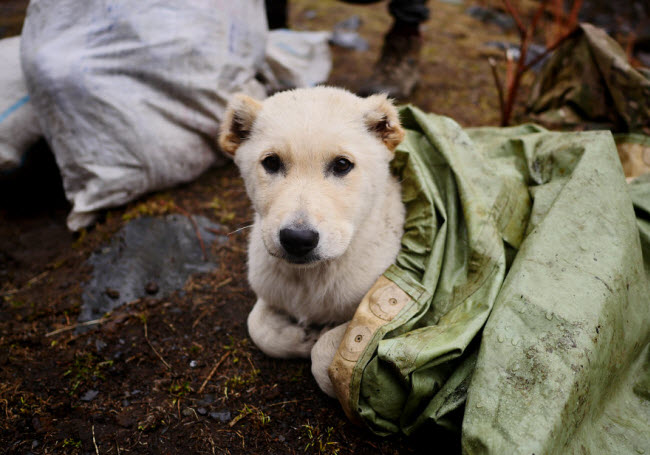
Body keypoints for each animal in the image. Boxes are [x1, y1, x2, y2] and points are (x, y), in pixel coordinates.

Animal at [220, 87, 402, 398]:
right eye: (271, 162)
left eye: (342, 164)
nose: (297, 239)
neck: (310, 278)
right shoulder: (269, 286)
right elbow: (256, 326)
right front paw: (299, 337)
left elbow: (328, 354)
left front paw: (319, 339)